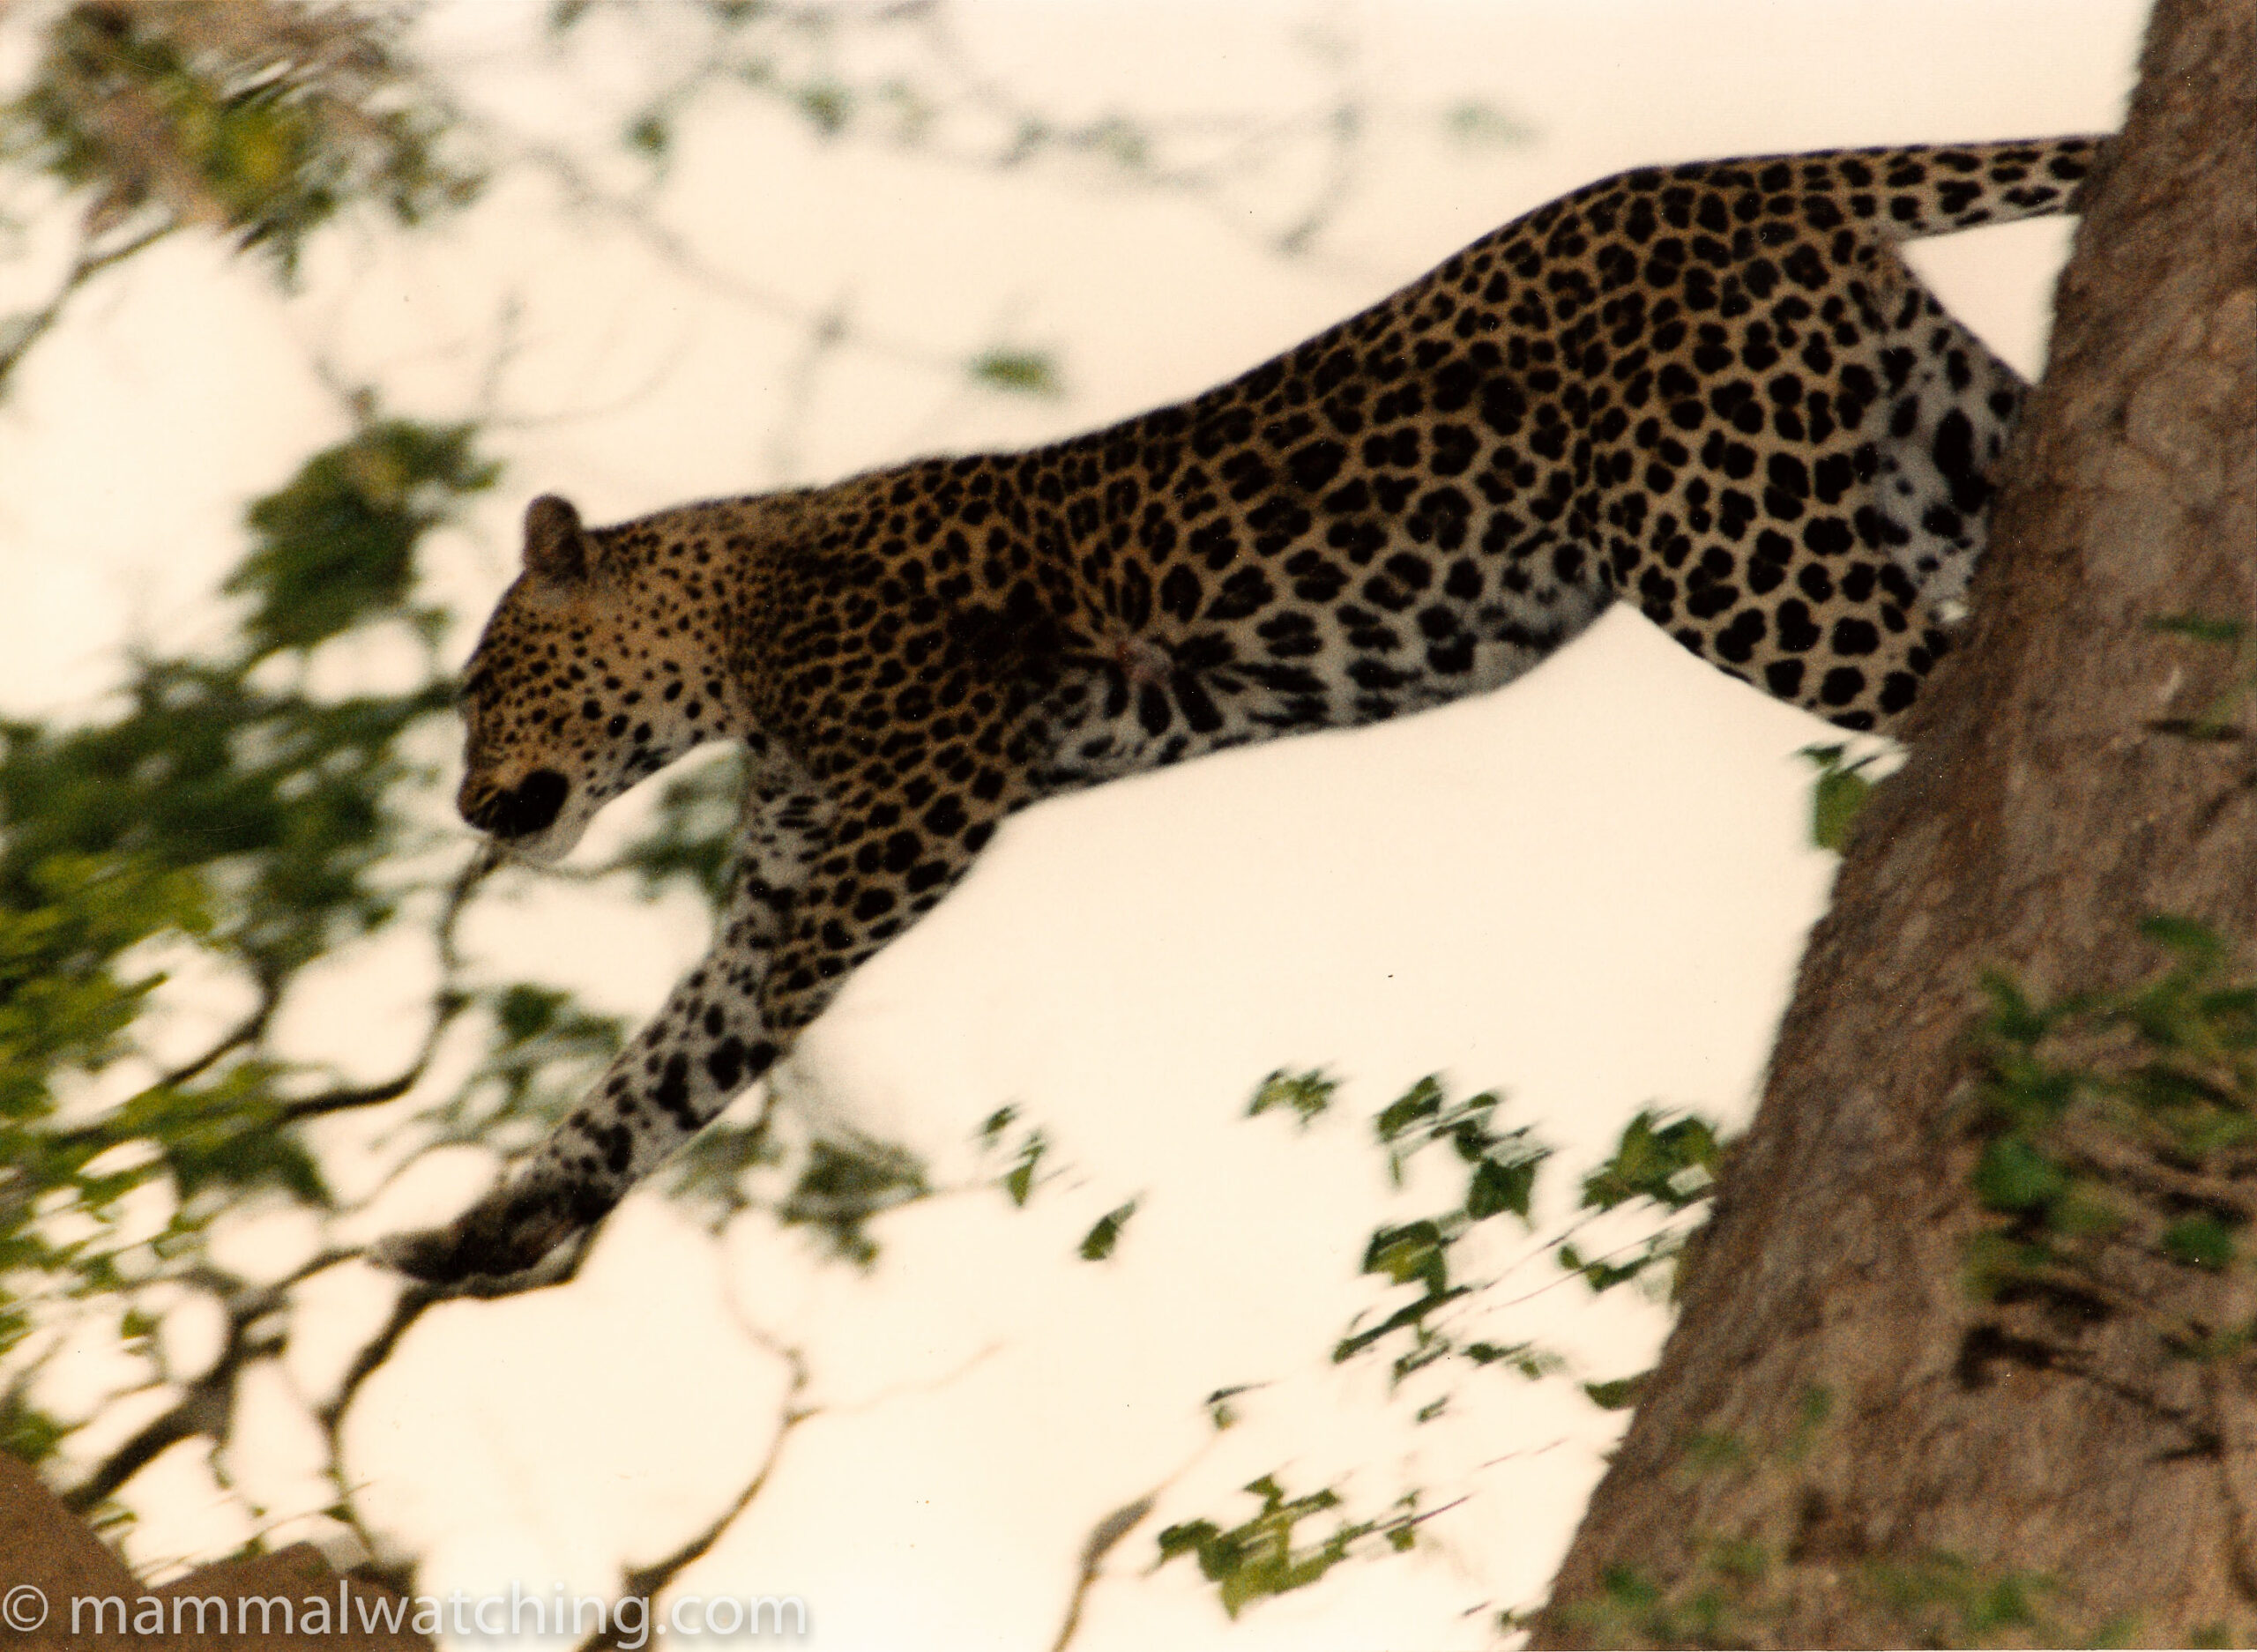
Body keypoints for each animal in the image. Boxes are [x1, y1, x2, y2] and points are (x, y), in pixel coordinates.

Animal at [384, 135, 2094, 1282]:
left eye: (482, 688)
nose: (466, 806)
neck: (737, 621)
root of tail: (1734, 177)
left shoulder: (897, 824)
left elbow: (727, 1023)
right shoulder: (793, 870)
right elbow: (658, 1068)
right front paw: (482, 1232)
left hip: (1737, 556)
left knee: (1942, 685)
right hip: (1941, 443)